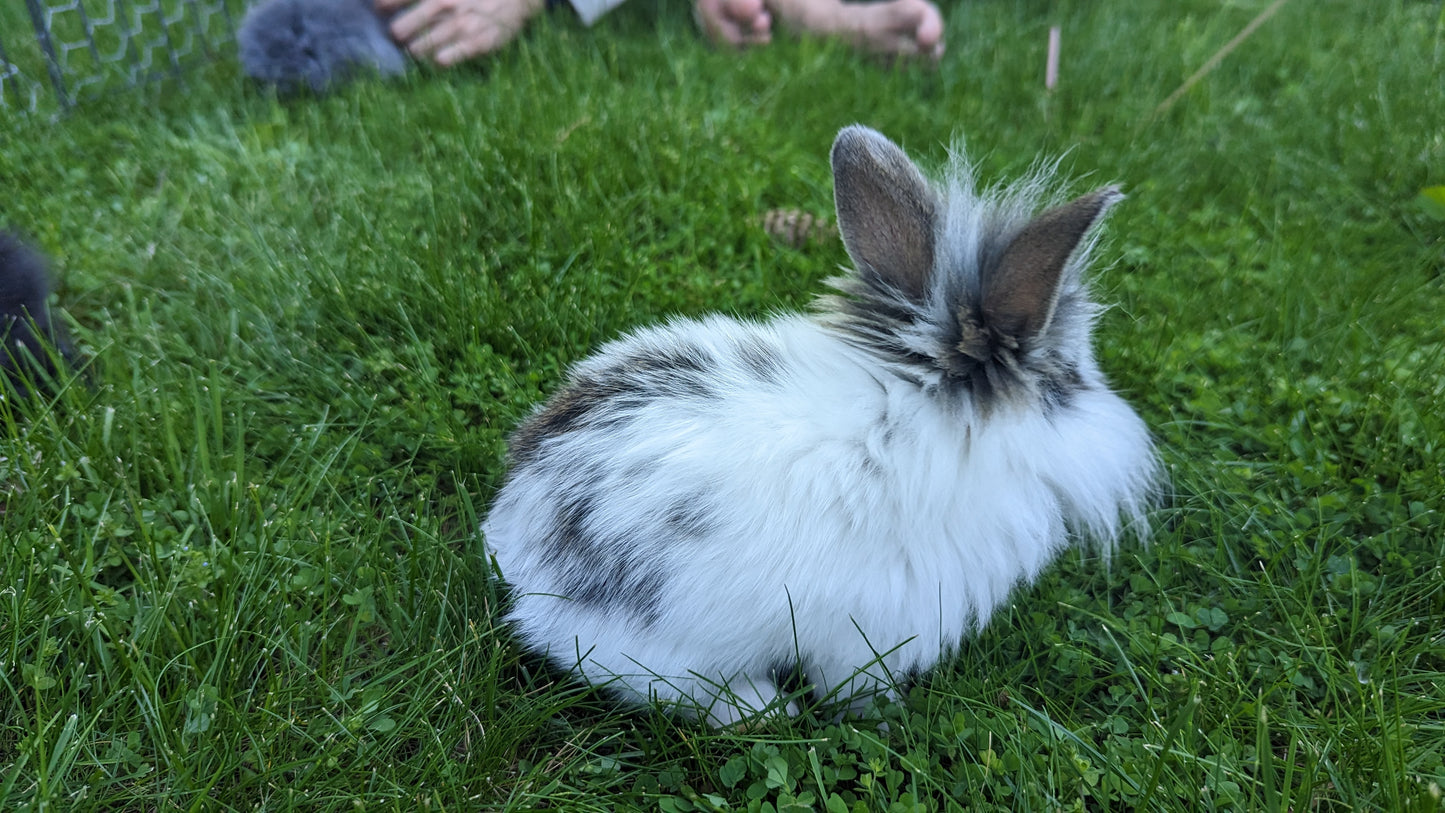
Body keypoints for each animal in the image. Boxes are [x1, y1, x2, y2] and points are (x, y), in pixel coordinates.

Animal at [482, 125, 1160, 726]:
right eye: (1069, 384)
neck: (922, 410)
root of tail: (519, 543)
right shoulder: (869, 631)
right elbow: (855, 683)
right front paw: (884, 716)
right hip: (662, 646)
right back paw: (762, 709)